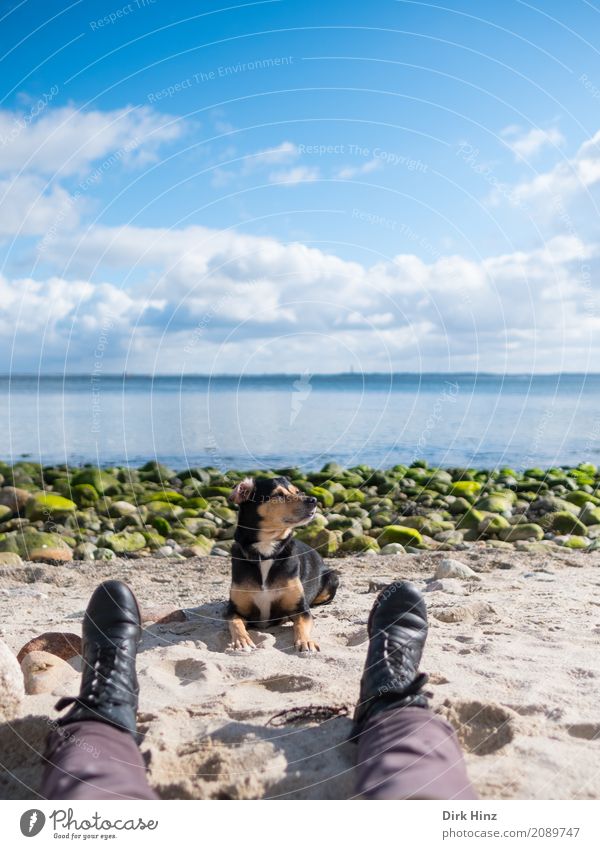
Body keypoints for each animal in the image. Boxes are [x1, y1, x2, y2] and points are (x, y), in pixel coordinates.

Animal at [225, 476, 338, 656]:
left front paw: (305, 641)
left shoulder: (301, 610)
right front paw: (242, 641)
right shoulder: (233, 610)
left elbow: (300, 625)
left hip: (333, 577)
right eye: (278, 495)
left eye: (298, 491)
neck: (266, 552)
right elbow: (236, 623)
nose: (313, 500)